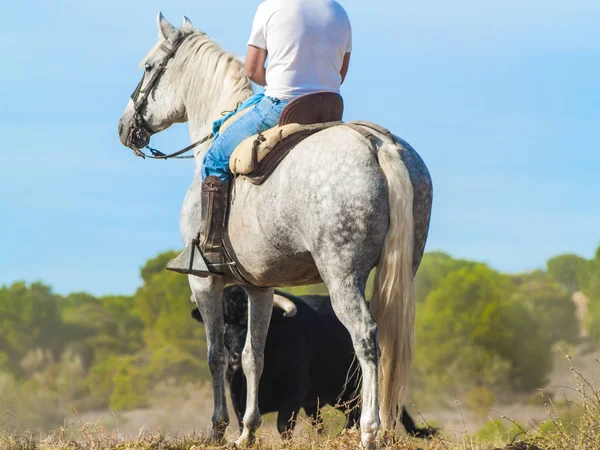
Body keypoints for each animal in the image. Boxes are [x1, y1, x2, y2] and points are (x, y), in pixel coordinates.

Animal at [192, 286, 436, 438]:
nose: (234, 356)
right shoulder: (236, 391)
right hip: (337, 397)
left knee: (370, 417)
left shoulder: (296, 390)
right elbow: (245, 421)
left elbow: (284, 426)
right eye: (224, 324)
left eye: (250, 324)